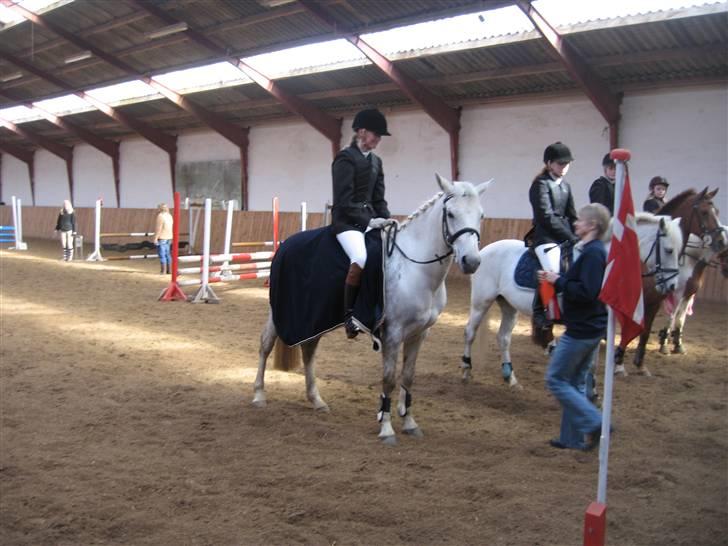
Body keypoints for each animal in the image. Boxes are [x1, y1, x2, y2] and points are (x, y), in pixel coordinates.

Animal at [252, 174, 490, 442]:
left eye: (481, 215)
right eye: (450, 213)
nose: (472, 262)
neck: (415, 268)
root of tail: (286, 243)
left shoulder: (420, 333)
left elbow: (408, 377)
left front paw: (410, 423)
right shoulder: (393, 333)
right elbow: (388, 379)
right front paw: (386, 428)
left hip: (313, 317)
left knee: (309, 350)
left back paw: (316, 400)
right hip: (279, 312)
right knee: (265, 344)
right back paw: (259, 395)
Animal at [460, 212, 684, 386]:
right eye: (669, 250)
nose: (672, 286)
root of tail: (482, 252)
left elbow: (590, 360)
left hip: (508, 305)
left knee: (504, 338)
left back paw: (510, 377)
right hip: (481, 302)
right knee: (470, 332)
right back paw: (466, 369)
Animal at [616, 188, 724, 374]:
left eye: (716, 211)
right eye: (704, 212)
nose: (721, 241)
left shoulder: (658, 300)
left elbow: (648, 330)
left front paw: (640, 363)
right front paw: (619, 363)